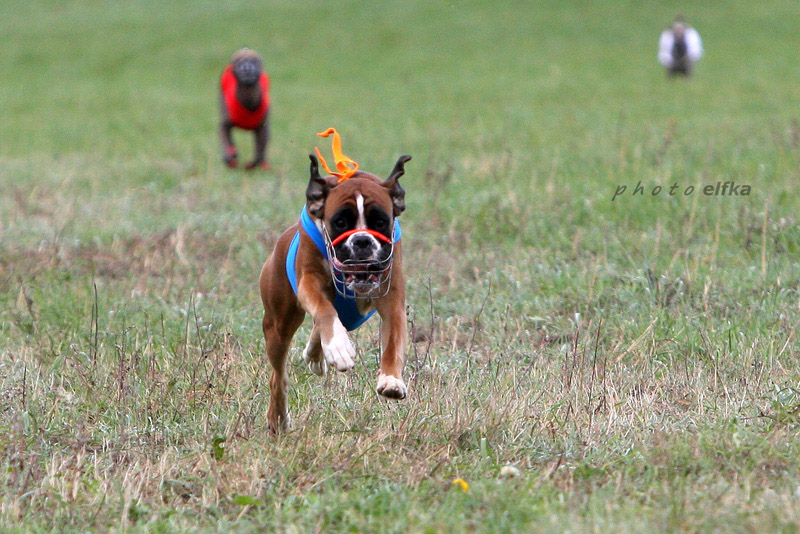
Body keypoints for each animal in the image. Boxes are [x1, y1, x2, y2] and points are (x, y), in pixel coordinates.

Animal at [260, 130, 412, 436]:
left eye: (381, 221)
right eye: (340, 222)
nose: (362, 241)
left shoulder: (392, 300)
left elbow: (393, 339)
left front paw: (391, 379)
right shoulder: (309, 284)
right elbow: (324, 311)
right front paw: (338, 347)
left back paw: (316, 355)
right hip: (278, 325)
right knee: (278, 377)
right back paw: (278, 417)